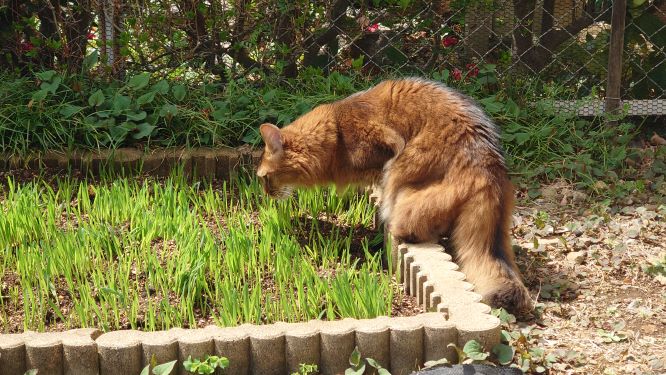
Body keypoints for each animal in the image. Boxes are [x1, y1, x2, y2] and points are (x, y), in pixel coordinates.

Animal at [253, 78, 528, 314]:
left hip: (405, 181)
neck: (335, 131)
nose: (266, 194)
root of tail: (489, 166)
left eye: (264, 178)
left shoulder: (386, 147)